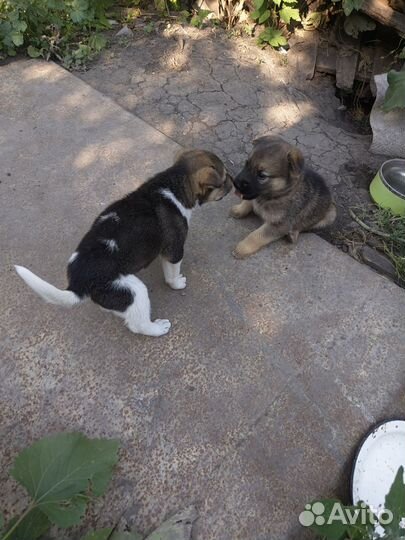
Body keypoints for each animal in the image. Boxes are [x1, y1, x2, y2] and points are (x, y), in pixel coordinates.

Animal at [15, 152, 232, 336]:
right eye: (223, 181)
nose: (235, 183)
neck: (174, 183)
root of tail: (78, 284)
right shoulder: (174, 250)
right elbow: (172, 274)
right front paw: (177, 283)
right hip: (133, 291)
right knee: (138, 325)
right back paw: (158, 328)